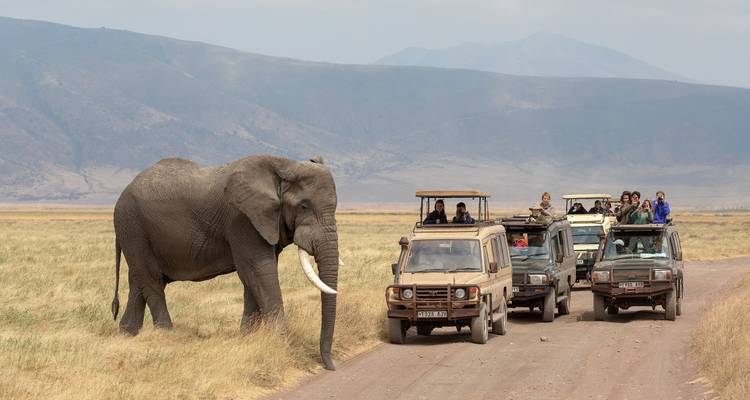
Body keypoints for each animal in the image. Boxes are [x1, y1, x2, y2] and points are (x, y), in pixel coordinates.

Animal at [110, 155, 340, 370]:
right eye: (303, 206)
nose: (330, 366)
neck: (284, 164)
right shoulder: (241, 219)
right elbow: (258, 270)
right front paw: (280, 344)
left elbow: (254, 277)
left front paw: (247, 338)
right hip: (133, 227)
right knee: (152, 280)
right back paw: (166, 334)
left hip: (136, 232)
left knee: (138, 282)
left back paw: (127, 333)